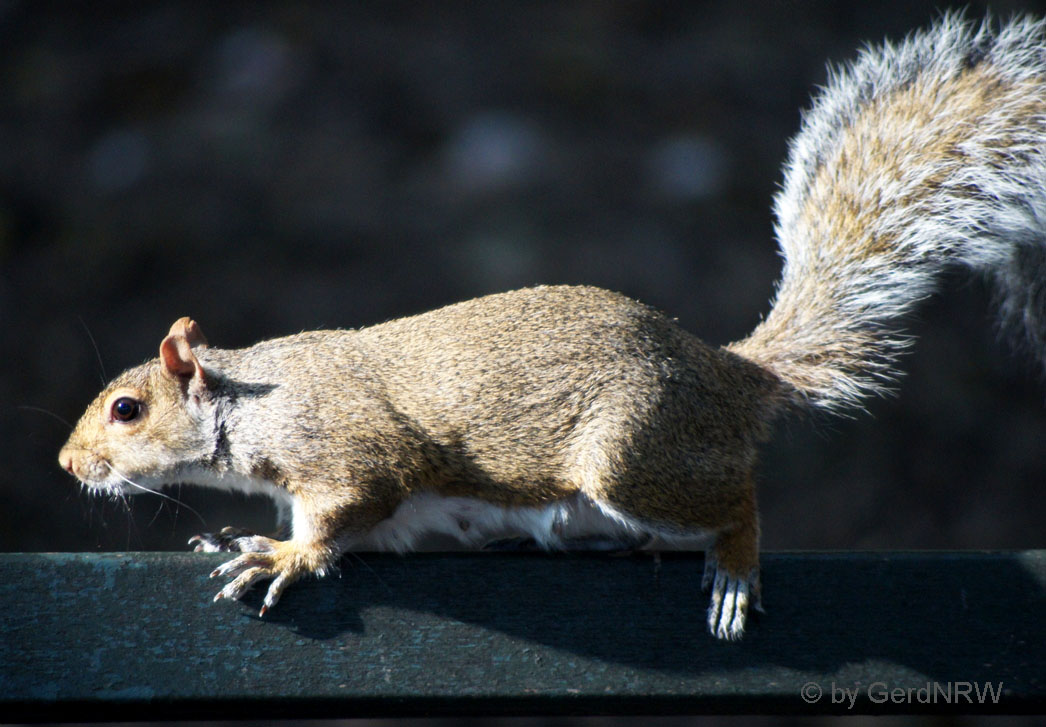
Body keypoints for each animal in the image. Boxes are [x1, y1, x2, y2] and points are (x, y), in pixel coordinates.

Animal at [59, 14, 1046, 640]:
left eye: (125, 409)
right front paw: (236, 537)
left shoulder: (345, 446)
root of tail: (732, 376)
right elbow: (373, 535)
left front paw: (282, 554)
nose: (70, 466)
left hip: (634, 454)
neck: (249, 395)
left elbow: (345, 509)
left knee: (738, 502)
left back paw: (734, 567)